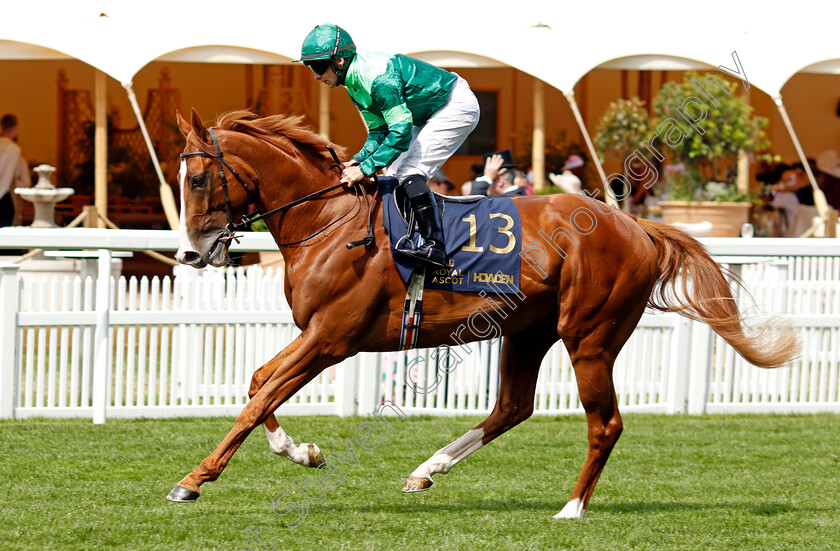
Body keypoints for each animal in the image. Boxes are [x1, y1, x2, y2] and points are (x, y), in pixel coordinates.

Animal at [167, 110, 796, 520]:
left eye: (197, 178)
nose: (191, 254)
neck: (326, 221)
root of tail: (634, 223)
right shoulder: (317, 336)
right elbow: (257, 384)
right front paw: (303, 453)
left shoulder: (331, 339)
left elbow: (258, 400)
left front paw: (193, 481)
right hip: (528, 332)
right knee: (513, 407)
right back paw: (427, 469)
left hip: (589, 337)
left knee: (606, 423)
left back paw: (572, 508)